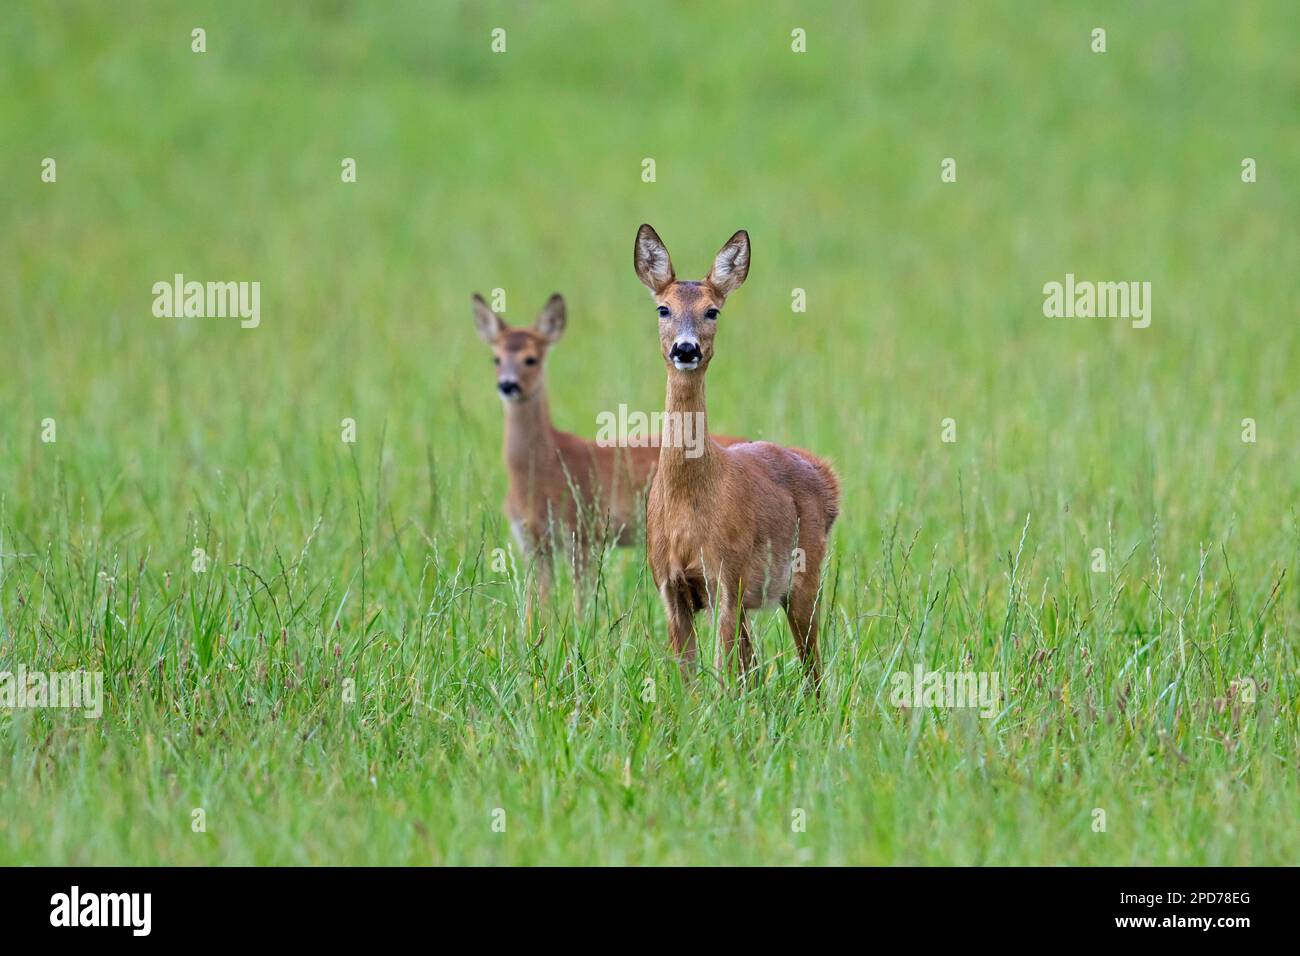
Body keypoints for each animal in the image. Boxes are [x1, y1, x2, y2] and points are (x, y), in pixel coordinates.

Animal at [631, 223, 837, 686]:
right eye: (663, 309)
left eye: (713, 311)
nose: (686, 349)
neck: (688, 508)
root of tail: (824, 475)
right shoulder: (670, 585)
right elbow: (689, 680)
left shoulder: (727, 576)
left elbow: (723, 674)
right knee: (755, 665)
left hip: (804, 576)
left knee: (812, 667)